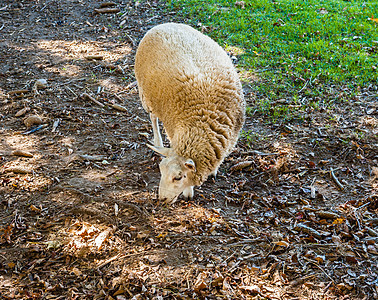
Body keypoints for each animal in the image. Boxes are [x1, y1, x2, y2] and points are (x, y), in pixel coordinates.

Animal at [134, 22, 247, 203]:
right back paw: (158, 141)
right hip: (146, 96)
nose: (161, 199)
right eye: (161, 170)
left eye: (178, 177)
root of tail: (162, 25)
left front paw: (214, 170)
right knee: (153, 118)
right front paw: (188, 192)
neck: (202, 123)